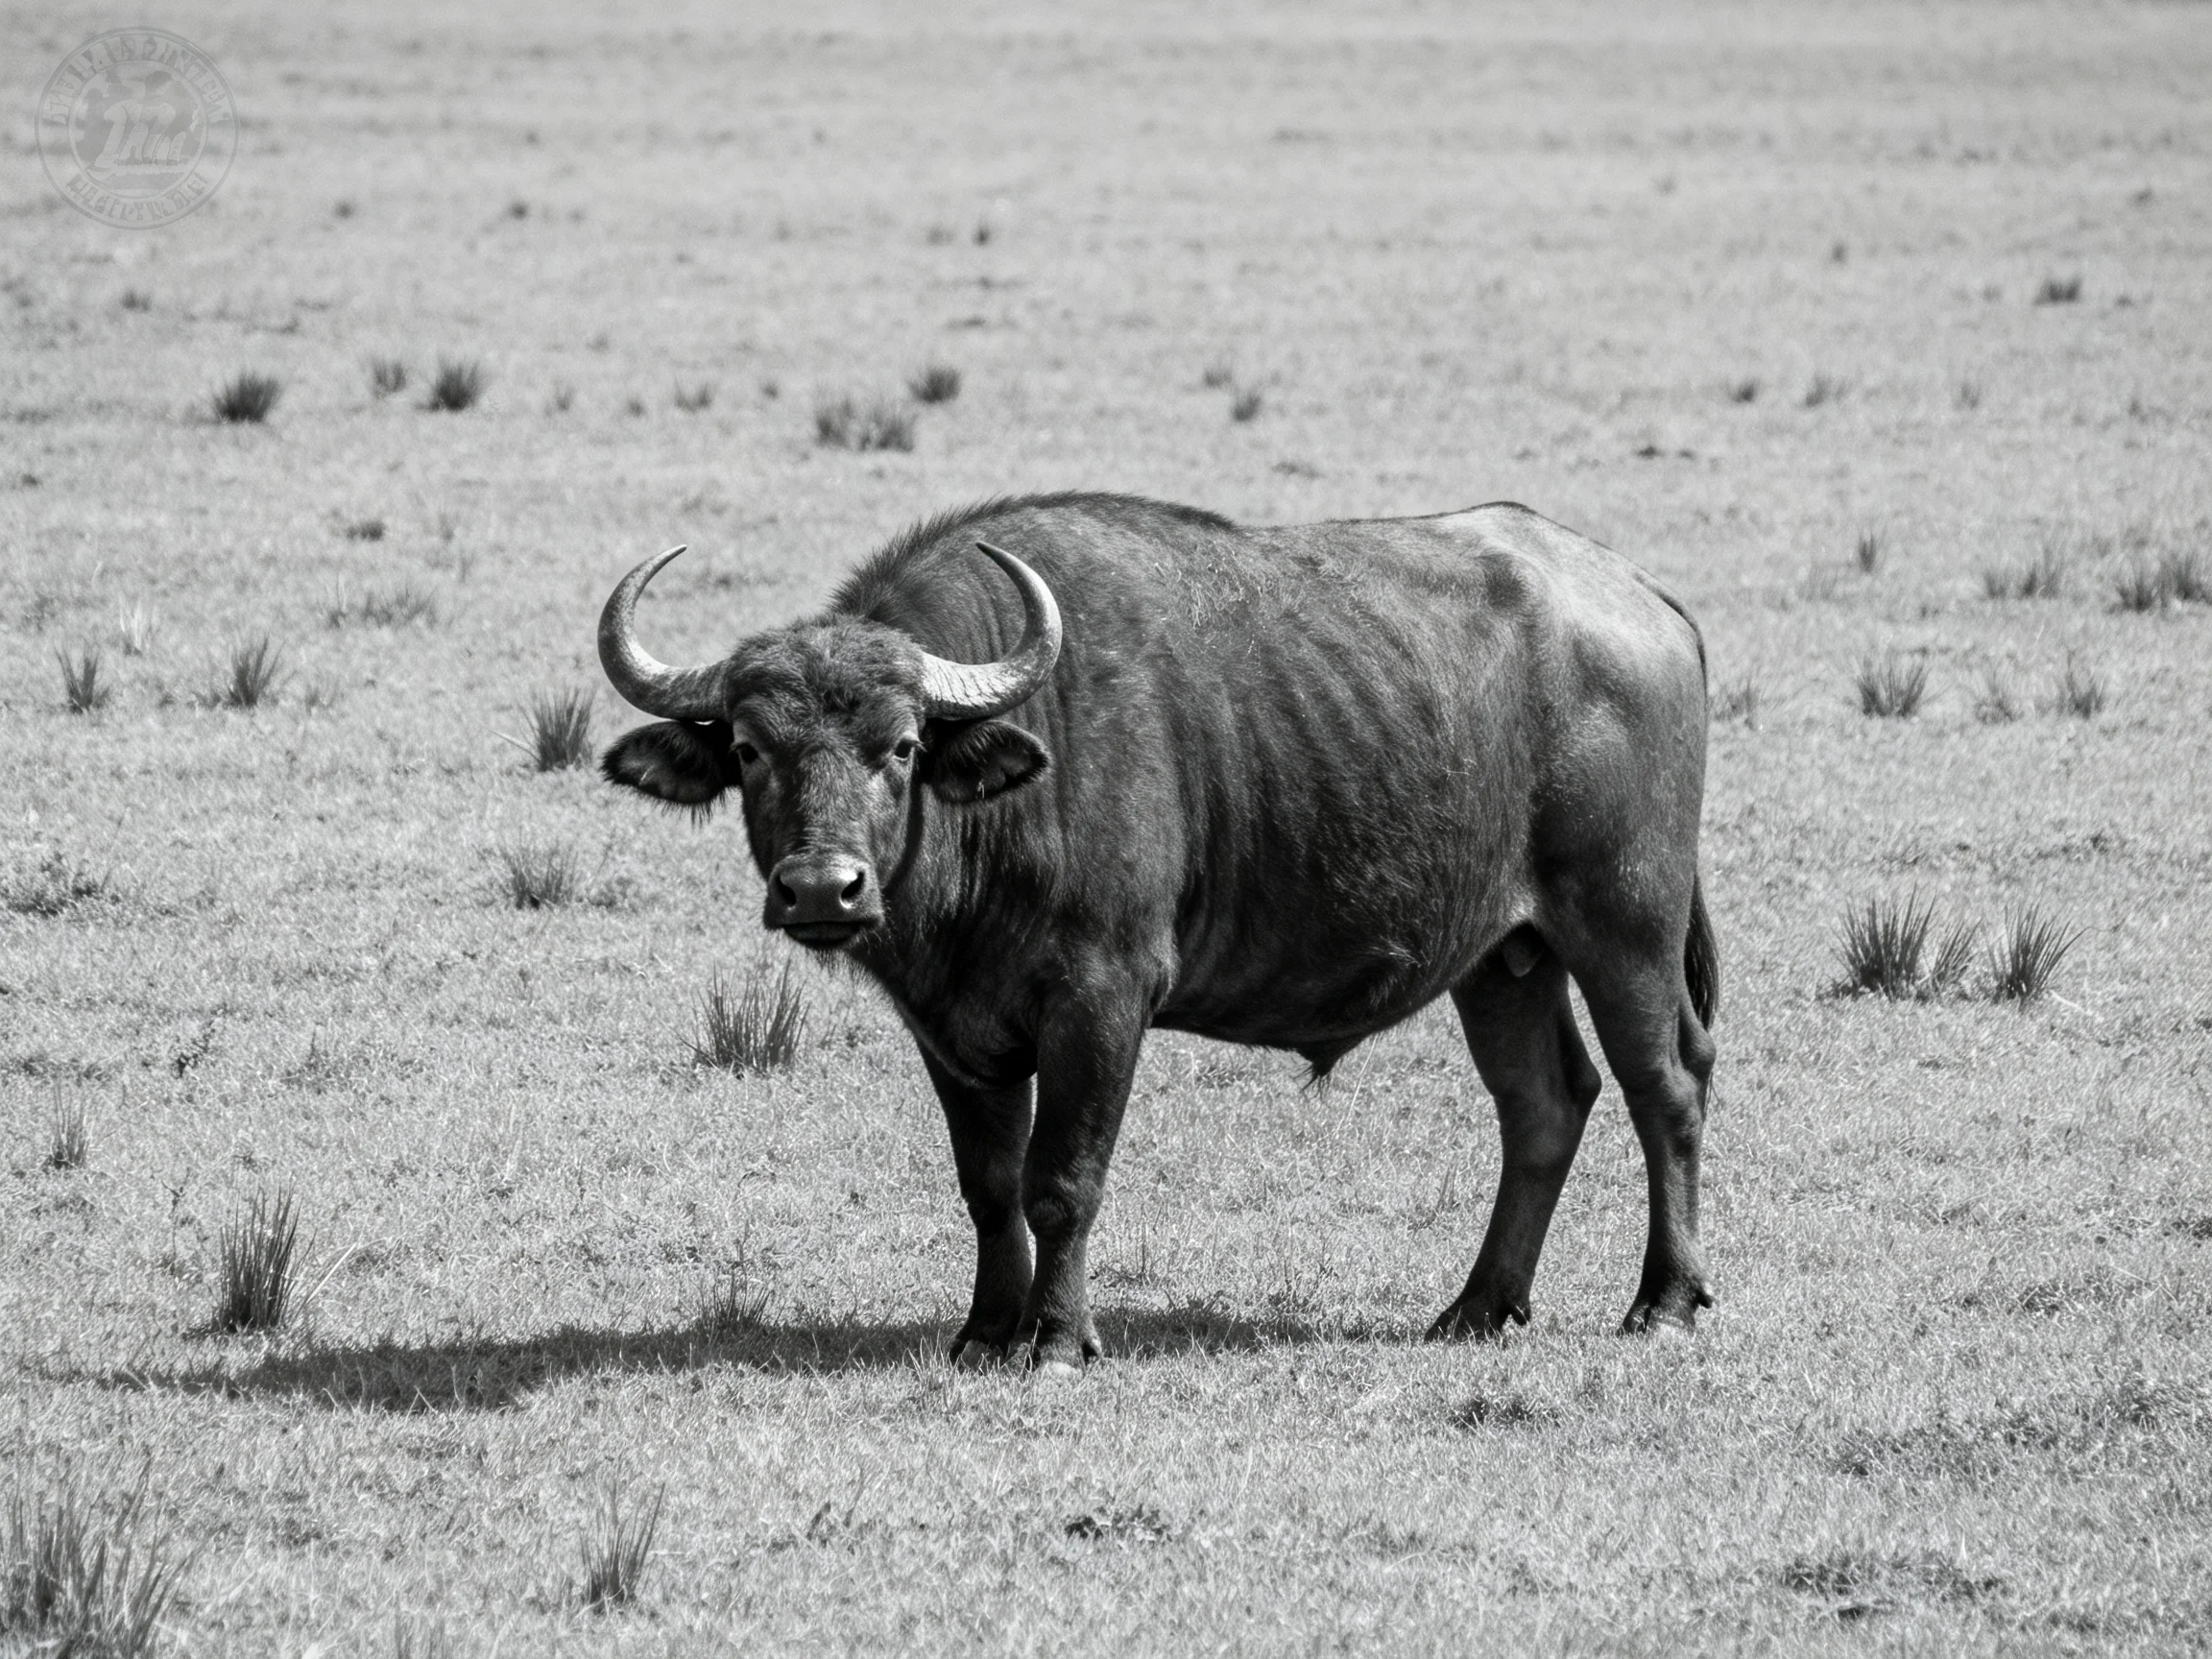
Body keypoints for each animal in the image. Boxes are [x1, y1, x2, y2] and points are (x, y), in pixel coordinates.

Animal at [599, 491, 1718, 1370]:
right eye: (750, 748)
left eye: (904, 745)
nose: (822, 891)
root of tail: (1646, 598)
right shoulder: (953, 1031)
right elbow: (988, 1186)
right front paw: (985, 1331)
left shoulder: (1103, 997)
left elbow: (1061, 1179)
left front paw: (1056, 1338)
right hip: (1502, 958)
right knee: (1543, 1104)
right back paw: (1479, 1305)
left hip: (1625, 922)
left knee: (1667, 1086)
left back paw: (1663, 1301)